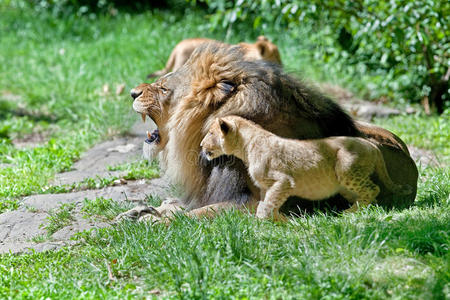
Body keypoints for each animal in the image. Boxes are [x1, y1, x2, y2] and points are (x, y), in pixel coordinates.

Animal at [200, 115, 412, 220]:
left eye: (210, 133)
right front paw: (279, 221)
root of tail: (372, 146)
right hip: (345, 185)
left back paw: (349, 214)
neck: (246, 146)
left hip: (346, 170)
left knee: (373, 189)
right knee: (368, 195)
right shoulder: (268, 186)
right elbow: (268, 202)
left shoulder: (284, 180)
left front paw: (262, 223)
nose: (201, 145)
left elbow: (267, 205)